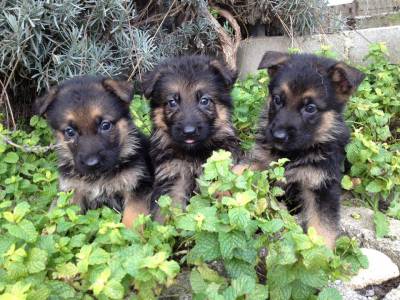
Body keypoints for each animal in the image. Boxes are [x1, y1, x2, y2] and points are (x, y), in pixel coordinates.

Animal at [34, 75, 153, 227]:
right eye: (70, 132)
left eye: (105, 125)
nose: (92, 163)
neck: (98, 177)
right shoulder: (70, 192)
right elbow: (58, 217)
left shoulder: (137, 187)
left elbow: (132, 218)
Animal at [142, 55, 239, 220]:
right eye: (172, 102)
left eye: (204, 100)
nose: (189, 132)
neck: (194, 153)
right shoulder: (174, 177)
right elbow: (168, 212)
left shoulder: (220, 171)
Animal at [245, 52, 364, 248]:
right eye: (277, 100)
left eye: (310, 108)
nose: (278, 136)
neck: (293, 154)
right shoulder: (263, 161)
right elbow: (241, 168)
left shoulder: (322, 185)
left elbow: (323, 225)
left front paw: (320, 252)